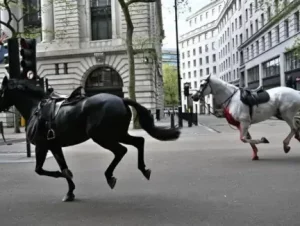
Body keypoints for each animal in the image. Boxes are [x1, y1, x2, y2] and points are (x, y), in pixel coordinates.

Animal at [0, 77, 180, 202]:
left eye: (0, 91)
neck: (35, 108)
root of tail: (121, 99)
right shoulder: (54, 146)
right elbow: (62, 166)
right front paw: (70, 191)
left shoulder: (42, 146)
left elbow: (41, 170)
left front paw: (65, 178)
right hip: (118, 134)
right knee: (139, 141)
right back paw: (143, 169)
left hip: (102, 136)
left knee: (121, 150)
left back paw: (110, 176)